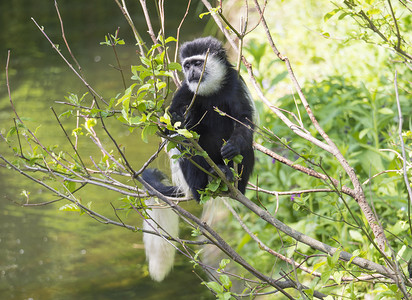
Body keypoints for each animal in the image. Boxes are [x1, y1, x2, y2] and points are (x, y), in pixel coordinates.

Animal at [142, 37, 254, 282]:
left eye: (198, 63)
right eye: (187, 65)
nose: (192, 72)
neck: (210, 90)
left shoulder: (235, 85)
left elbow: (244, 120)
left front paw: (232, 146)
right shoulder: (185, 91)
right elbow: (169, 129)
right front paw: (184, 119)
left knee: (247, 148)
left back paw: (231, 177)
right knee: (186, 150)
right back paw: (202, 186)